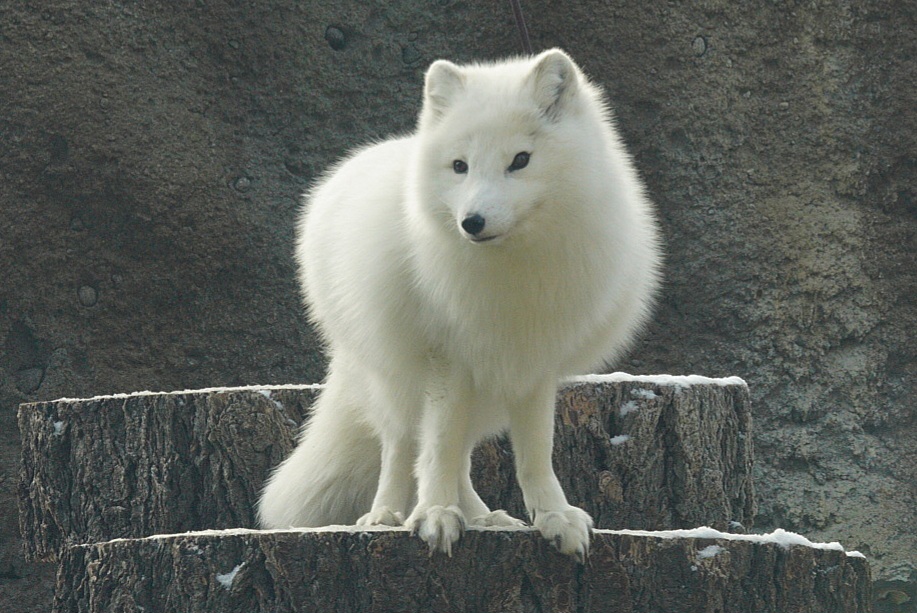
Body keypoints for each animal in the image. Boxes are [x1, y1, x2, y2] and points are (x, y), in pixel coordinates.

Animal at [258, 49, 662, 561]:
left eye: (521, 161)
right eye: (459, 166)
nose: (472, 222)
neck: (510, 276)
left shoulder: (534, 363)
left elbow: (535, 453)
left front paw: (554, 517)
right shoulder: (445, 359)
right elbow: (438, 448)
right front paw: (433, 514)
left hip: (483, 389)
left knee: (462, 453)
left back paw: (481, 515)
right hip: (394, 376)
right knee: (403, 444)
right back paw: (387, 513)